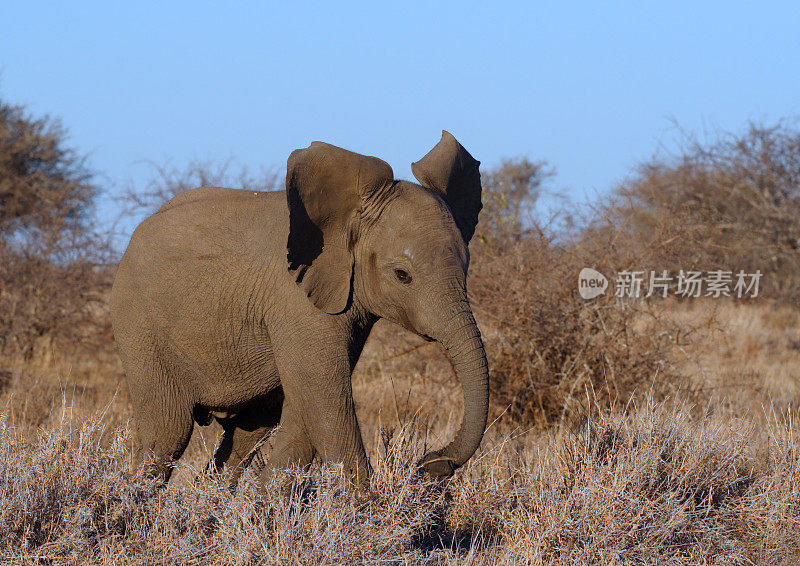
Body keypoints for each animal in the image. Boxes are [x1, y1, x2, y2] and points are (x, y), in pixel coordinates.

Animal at [110, 131, 490, 486]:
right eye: (402, 275)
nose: (432, 463)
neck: (347, 216)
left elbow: (304, 407)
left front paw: (263, 501)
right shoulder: (295, 300)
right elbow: (324, 399)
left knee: (249, 431)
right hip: (138, 322)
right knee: (167, 431)